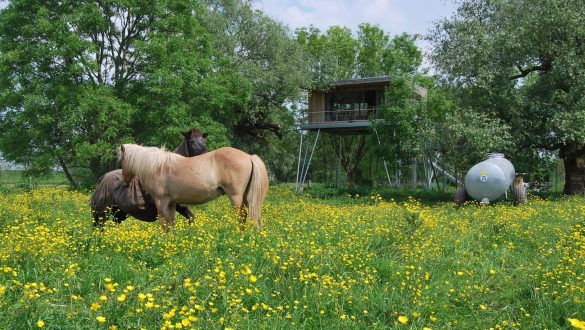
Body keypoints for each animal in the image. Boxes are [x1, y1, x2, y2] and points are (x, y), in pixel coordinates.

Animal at [118, 143, 270, 231]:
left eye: (121, 160)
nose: (125, 181)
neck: (157, 167)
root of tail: (249, 156)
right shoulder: (171, 203)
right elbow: (171, 223)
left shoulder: (161, 202)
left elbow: (164, 223)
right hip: (246, 197)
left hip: (236, 197)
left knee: (241, 216)